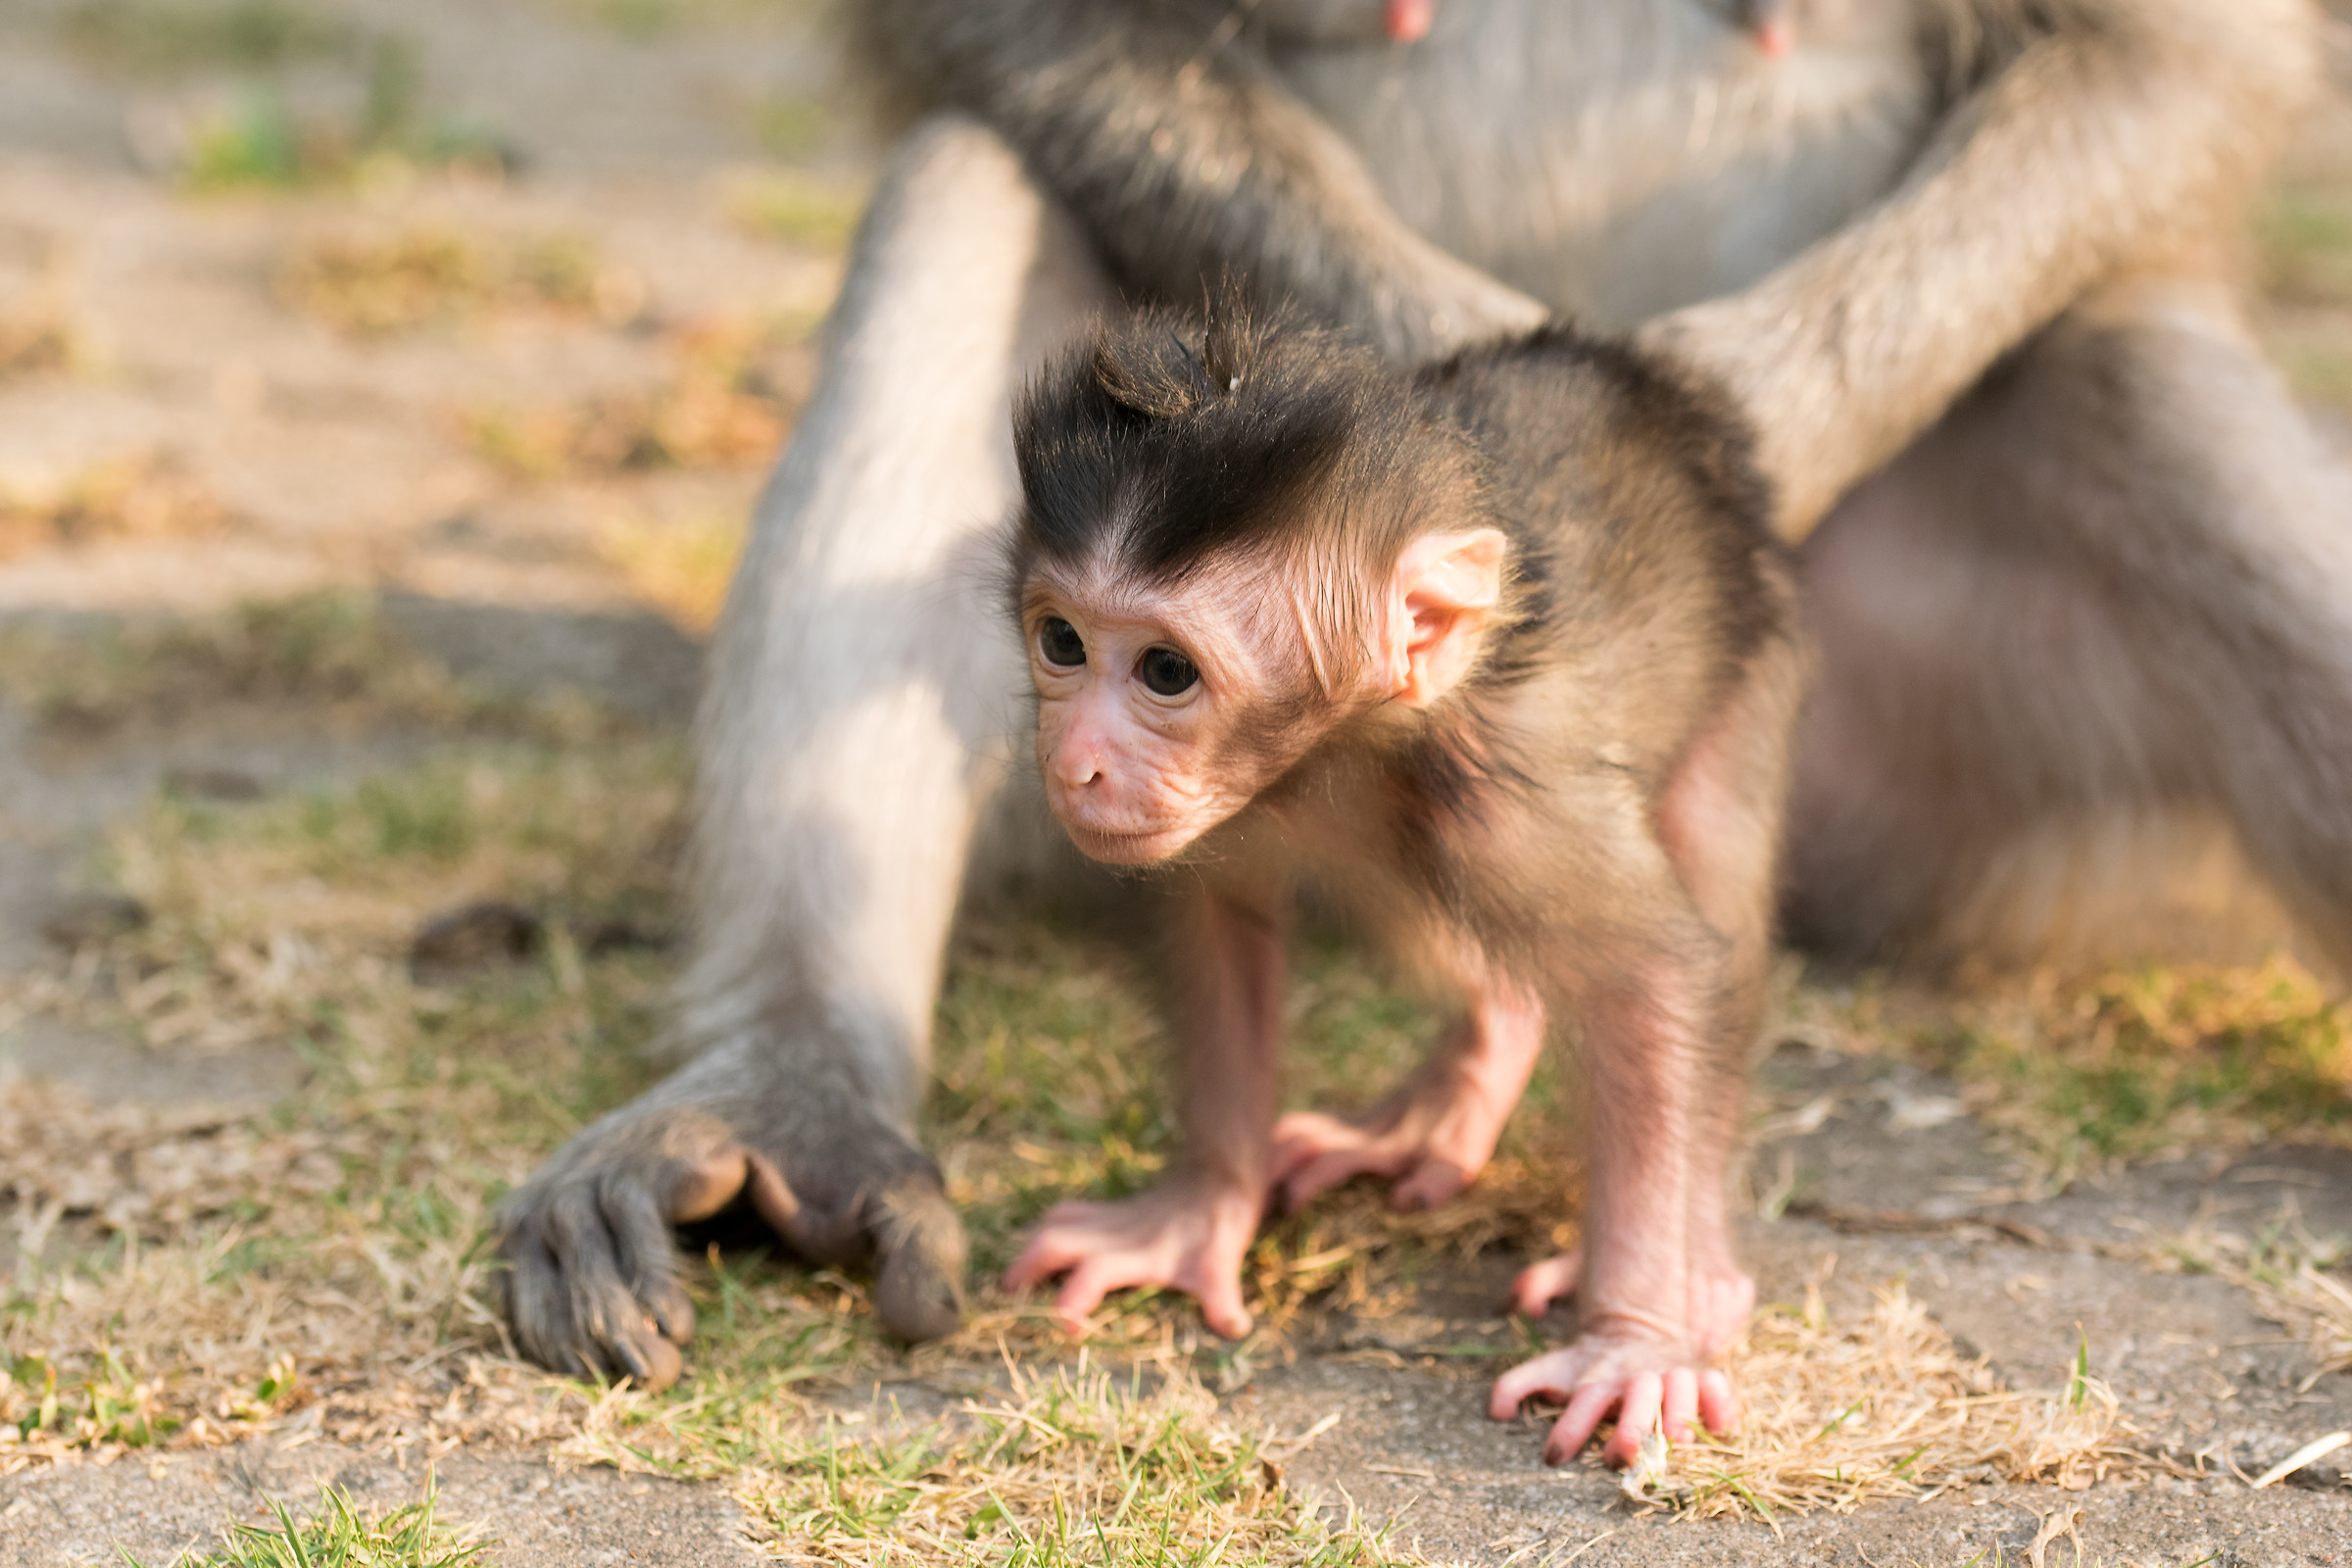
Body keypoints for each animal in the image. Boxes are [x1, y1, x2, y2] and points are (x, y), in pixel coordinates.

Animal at [995, 299, 1807, 1467]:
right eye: (1062, 642)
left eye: (1164, 672)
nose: (1075, 765)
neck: (1343, 746)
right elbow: (1218, 921)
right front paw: (1194, 1214)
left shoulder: (1506, 803)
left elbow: (1655, 974)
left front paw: (1636, 1342)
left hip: (1756, 656)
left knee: (1709, 905)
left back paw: (1695, 1276)